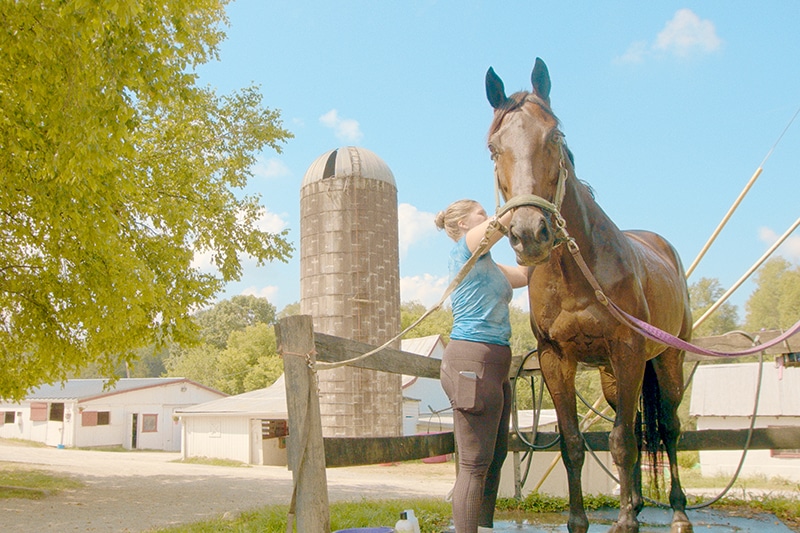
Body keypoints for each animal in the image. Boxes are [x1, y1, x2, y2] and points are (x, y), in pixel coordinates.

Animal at [484, 58, 696, 532]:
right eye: (493, 148)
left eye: (555, 137)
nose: (530, 233)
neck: (576, 272)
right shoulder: (555, 359)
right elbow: (574, 444)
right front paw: (580, 521)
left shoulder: (629, 349)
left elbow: (621, 443)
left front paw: (627, 523)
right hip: (613, 376)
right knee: (633, 425)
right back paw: (634, 501)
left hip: (667, 360)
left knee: (668, 428)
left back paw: (677, 512)